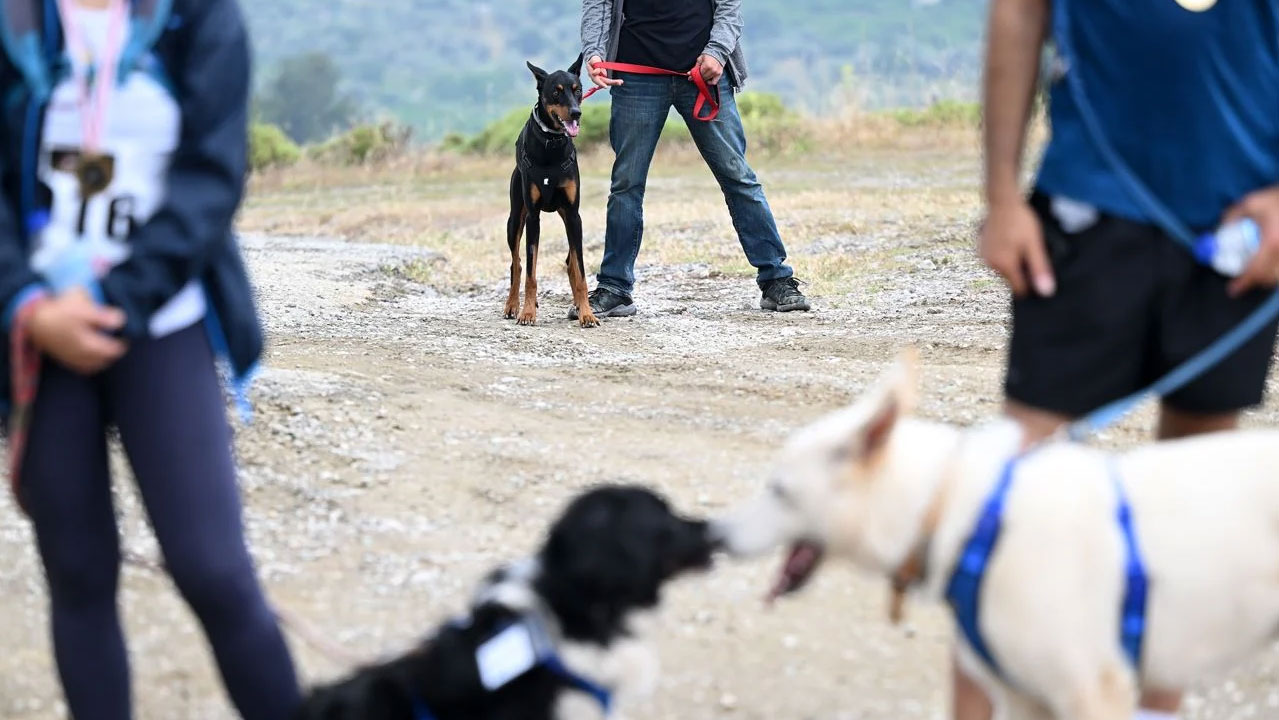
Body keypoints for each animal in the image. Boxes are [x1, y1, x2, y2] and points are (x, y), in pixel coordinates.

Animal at [501, 52, 596, 327]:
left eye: (578, 89)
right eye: (556, 92)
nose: (576, 113)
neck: (551, 143)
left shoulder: (574, 215)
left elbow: (581, 271)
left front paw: (587, 313)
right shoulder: (533, 216)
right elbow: (530, 272)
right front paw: (527, 313)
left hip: (566, 217)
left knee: (570, 261)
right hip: (515, 219)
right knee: (516, 264)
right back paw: (512, 305)